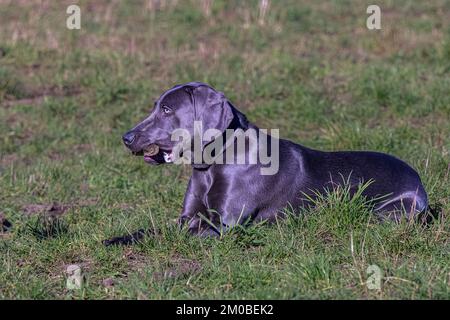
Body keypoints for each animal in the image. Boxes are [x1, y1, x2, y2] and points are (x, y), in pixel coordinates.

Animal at [103, 82, 428, 245]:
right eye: (156, 107)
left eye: (168, 109)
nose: (126, 137)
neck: (213, 163)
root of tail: (418, 180)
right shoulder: (189, 215)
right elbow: (153, 229)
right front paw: (117, 239)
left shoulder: (224, 225)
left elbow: (177, 234)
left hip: (388, 212)